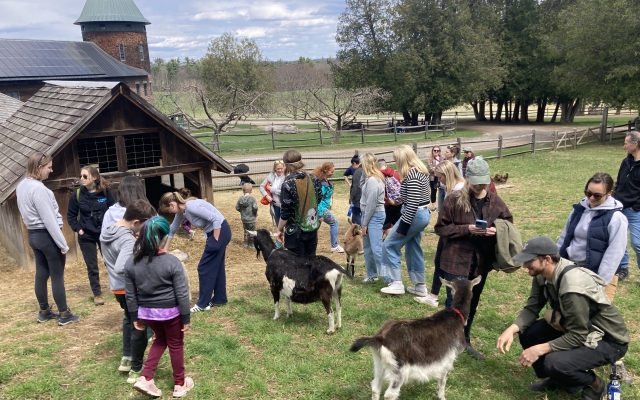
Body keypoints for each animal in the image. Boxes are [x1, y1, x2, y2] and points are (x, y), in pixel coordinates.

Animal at [350, 276, 480, 400]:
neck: (456, 315)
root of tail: (380, 339)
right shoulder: (450, 358)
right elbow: (443, 380)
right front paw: (441, 396)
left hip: (379, 363)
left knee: (375, 388)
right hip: (398, 370)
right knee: (389, 395)